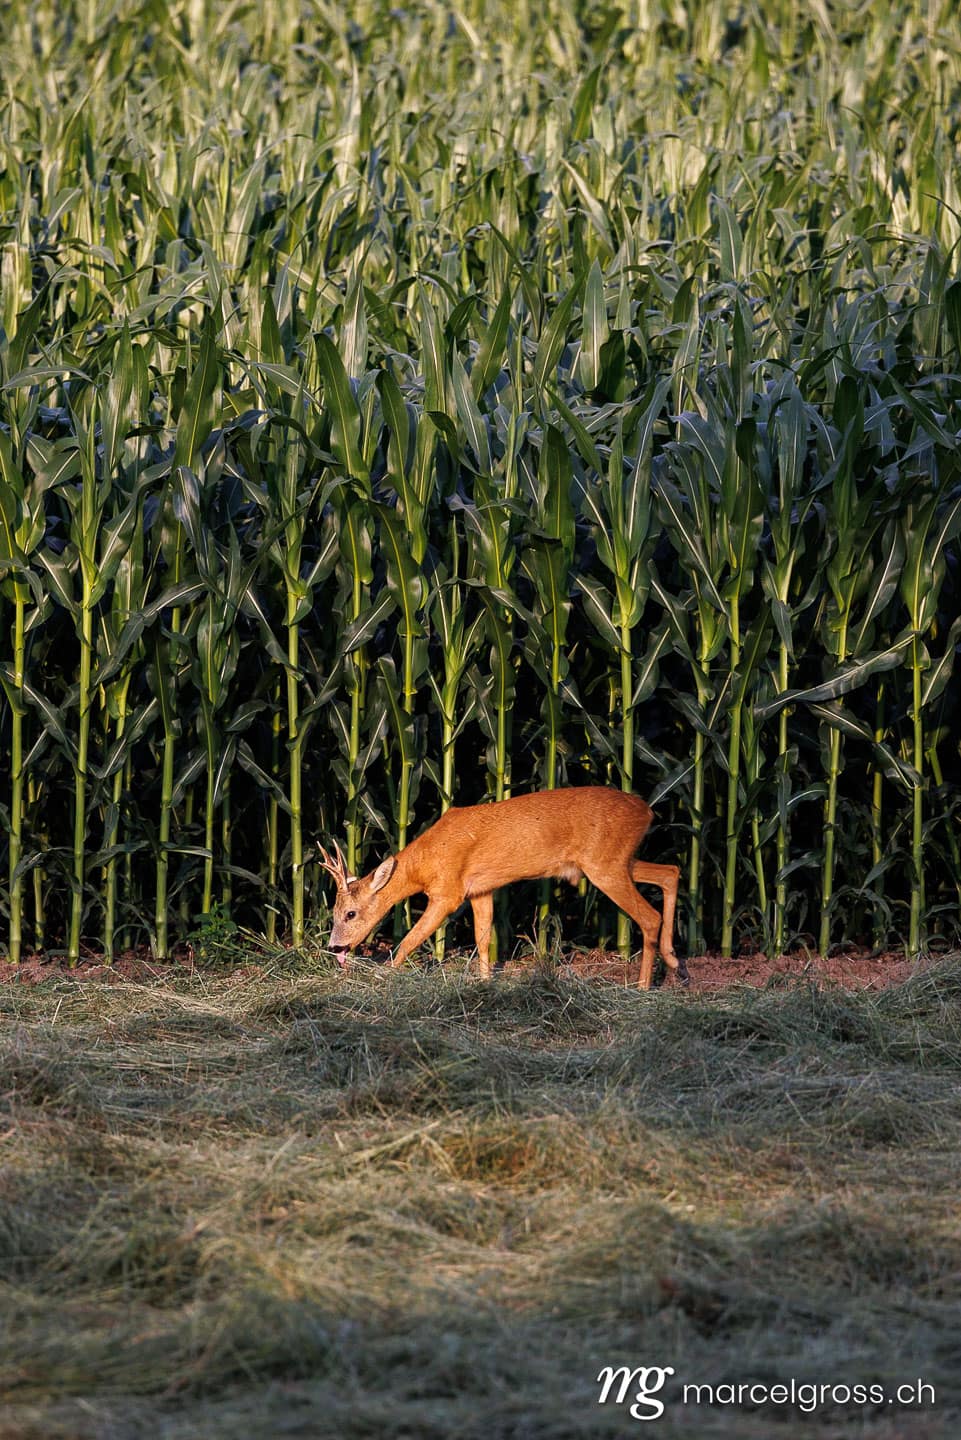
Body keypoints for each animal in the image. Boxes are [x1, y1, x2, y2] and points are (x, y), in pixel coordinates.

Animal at [318, 787, 686, 990]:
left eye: (350, 913)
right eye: (333, 911)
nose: (335, 947)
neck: (426, 861)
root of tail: (648, 811)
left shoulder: (448, 892)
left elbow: (410, 939)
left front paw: (383, 978)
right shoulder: (480, 889)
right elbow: (483, 938)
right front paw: (484, 983)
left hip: (604, 865)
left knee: (649, 916)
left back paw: (643, 987)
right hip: (618, 860)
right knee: (671, 871)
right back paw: (673, 963)